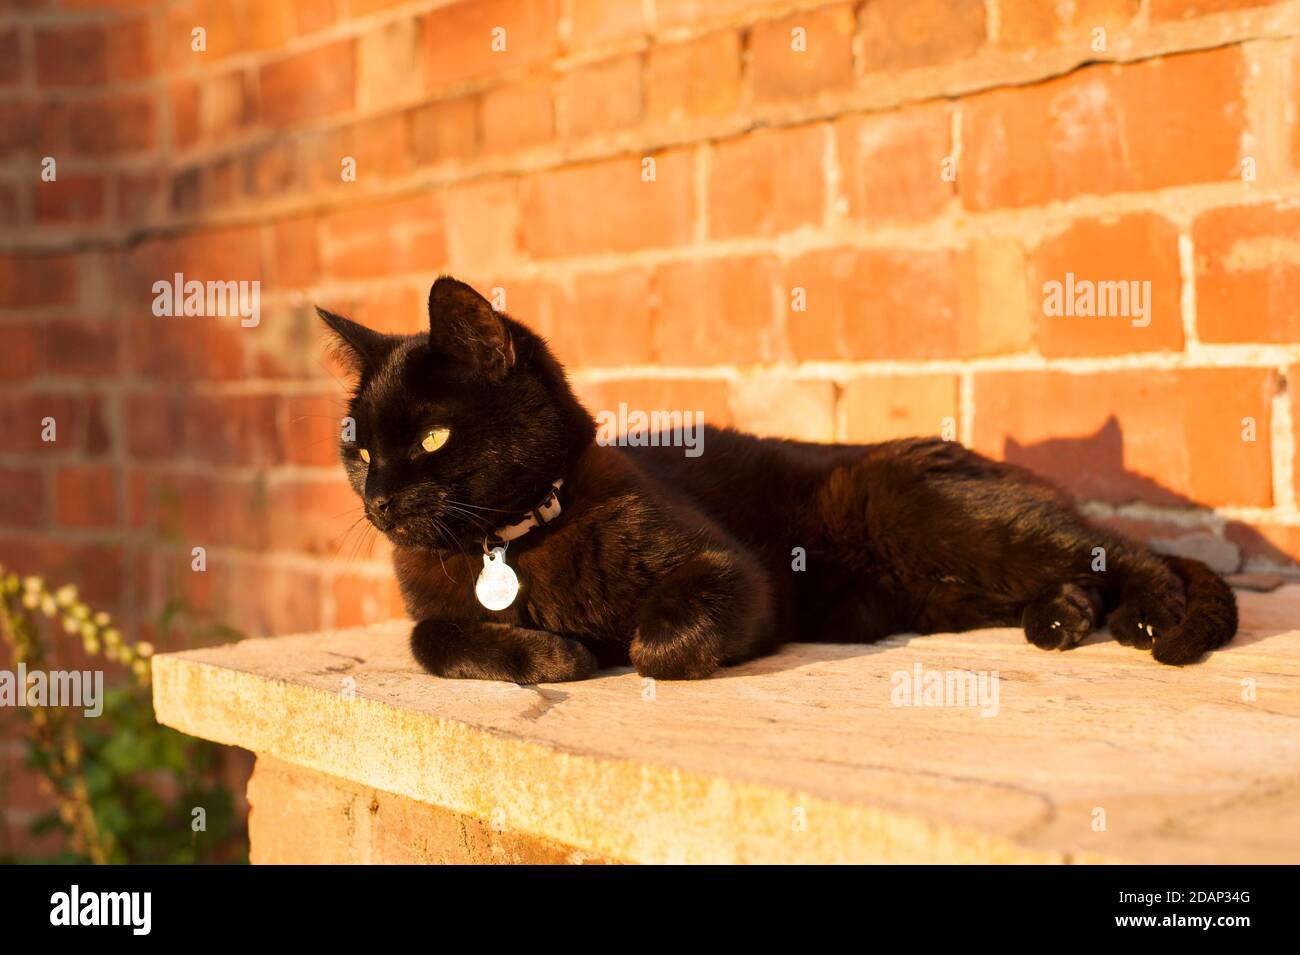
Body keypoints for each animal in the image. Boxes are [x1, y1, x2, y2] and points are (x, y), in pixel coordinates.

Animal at [317, 272, 1237, 686]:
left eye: (432, 435)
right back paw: (1063, 617)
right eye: (357, 446)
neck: (507, 545)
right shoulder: (431, 611)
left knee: (1125, 548)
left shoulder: (733, 575)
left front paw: (582, 648)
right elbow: (431, 639)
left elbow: (656, 644)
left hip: (935, 515)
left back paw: (1147, 615)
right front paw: (547, 651)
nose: (377, 497)